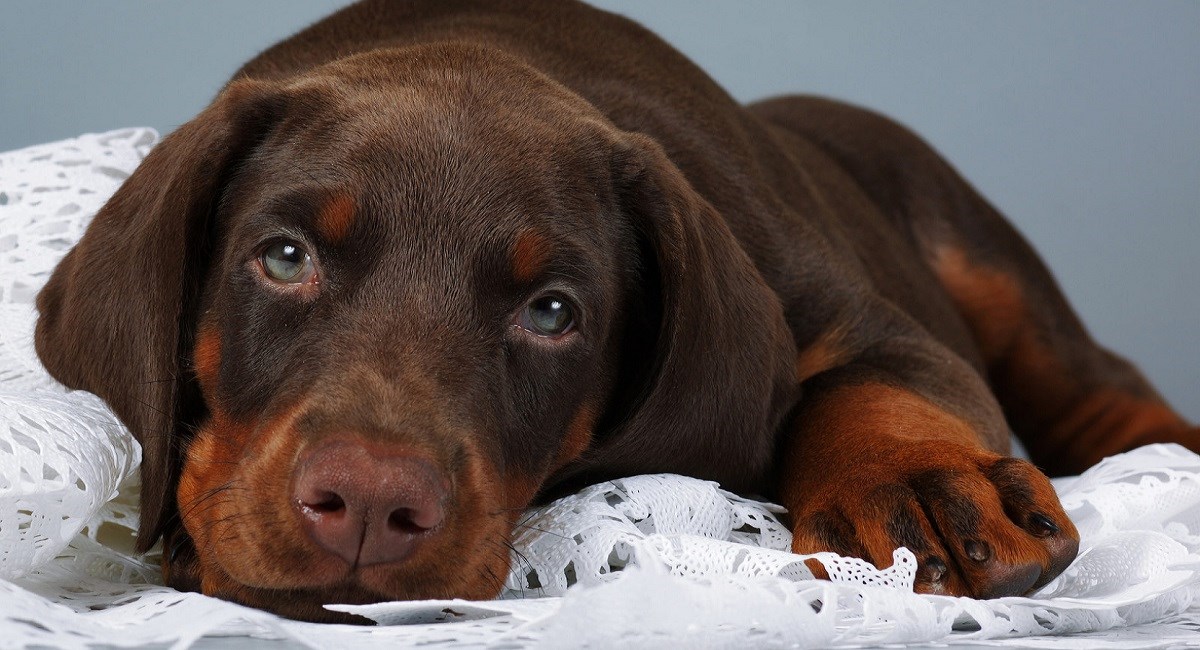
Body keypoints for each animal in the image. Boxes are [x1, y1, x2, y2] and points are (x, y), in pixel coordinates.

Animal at [32, 0, 1195, 623]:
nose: (367, 504)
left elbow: (867, 386)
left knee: (1104, 387)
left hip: (977, 252)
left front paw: (908, 481)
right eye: (282, 257)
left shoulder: (876, 322)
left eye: (553, 313)